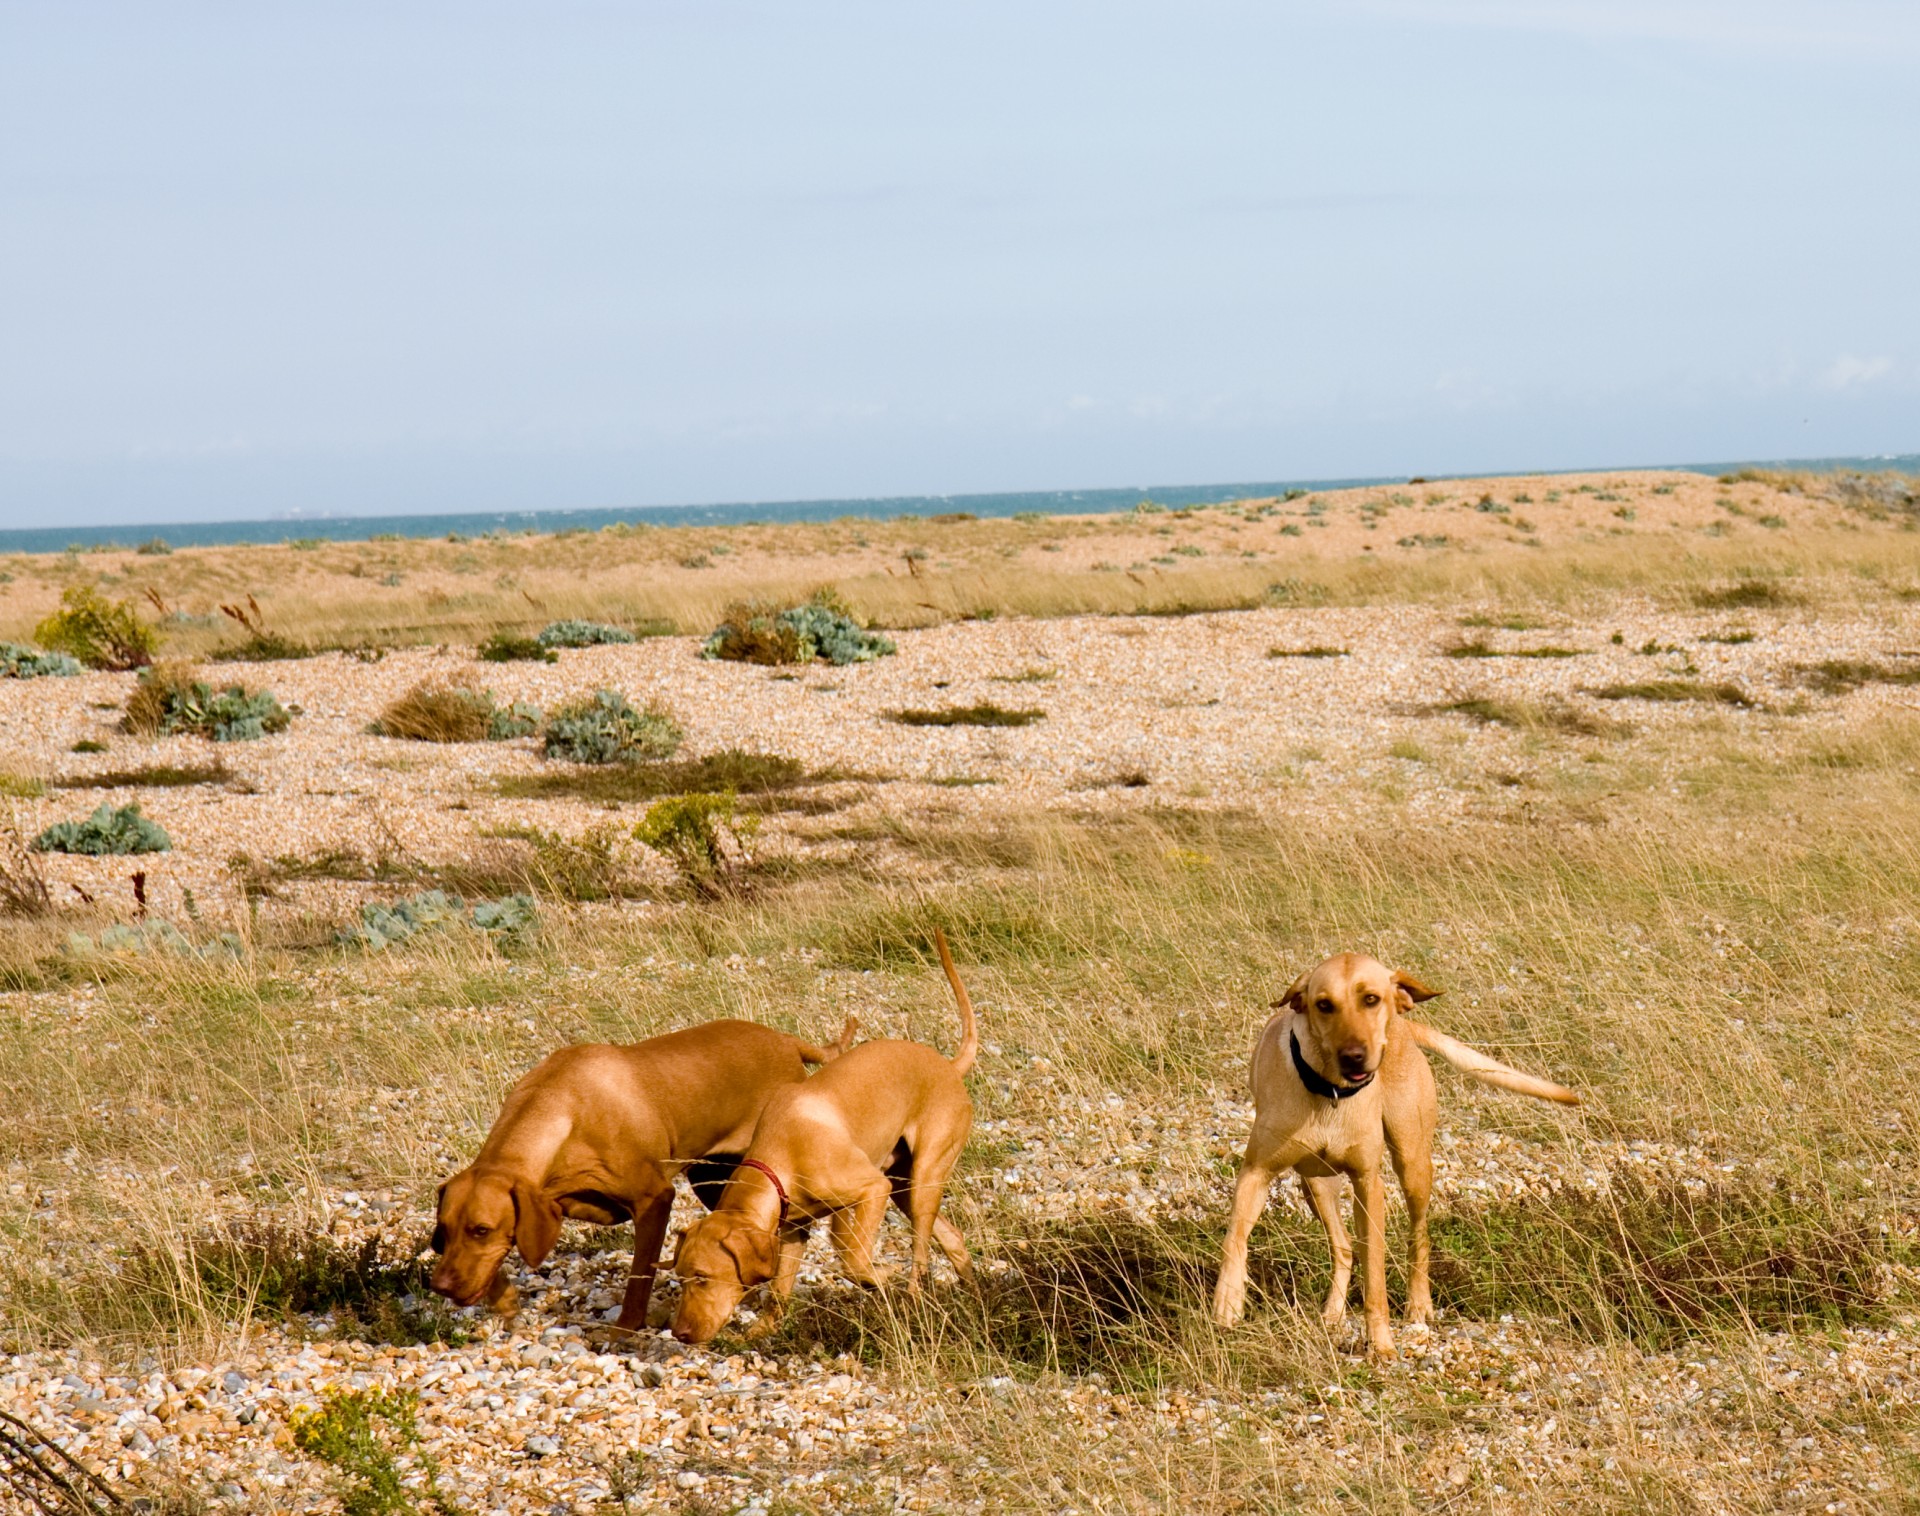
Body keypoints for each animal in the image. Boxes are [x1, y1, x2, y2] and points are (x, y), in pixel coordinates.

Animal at [441, 1020, 856, 1327]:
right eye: (443, 1229)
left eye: (481, 1230)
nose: (438, 1285)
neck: (558, 1106)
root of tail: (785, 1040)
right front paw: (505, 1301)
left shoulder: (654, 1200)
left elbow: (639, 1276)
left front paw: (626, 1328)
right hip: (714, 1181)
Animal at [672, 932, 975, 1350]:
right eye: (680, 1278)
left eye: (702, 1277)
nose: (680, 1334)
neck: (780, 1155)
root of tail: (948, 1066)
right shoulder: (792, 1230)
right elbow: (780, 1290)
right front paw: (761, 1330)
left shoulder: (872, 1188)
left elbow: (851, 1255)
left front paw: (879, 1277)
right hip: (905, 1186)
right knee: (953, 1238)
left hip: (922, 1177)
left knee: (921, 1253)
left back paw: (914, 1299)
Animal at [1213, 955, 1574, 1358]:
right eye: (1324, 1004)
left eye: (1371, 999)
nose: (1354, 1056)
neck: (1329, 1094)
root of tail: (1403, 1024)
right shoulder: (1255, 1172)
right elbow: (1235, 1240)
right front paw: (1228, 1303)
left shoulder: (1369, 1186)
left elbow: (1375, 1277)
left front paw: (1381, 1344)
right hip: (1316, 1184)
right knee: (1343, 1247)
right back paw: (1332, 1315)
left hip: (1412, 1163)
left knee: (1419, 1236)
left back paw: (1419, 1304)